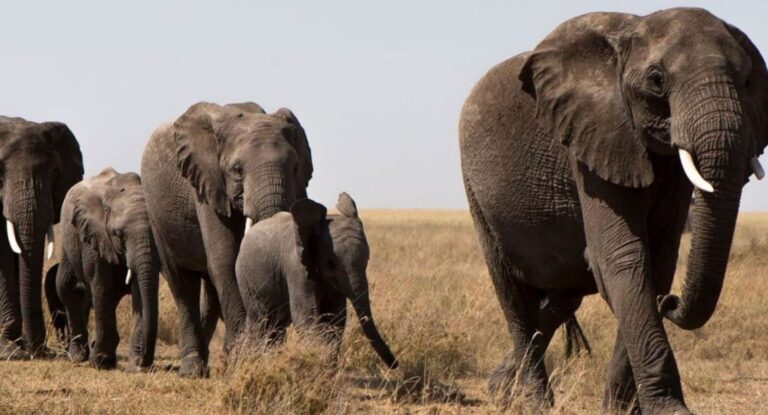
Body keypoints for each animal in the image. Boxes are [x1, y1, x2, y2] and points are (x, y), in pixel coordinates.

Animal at [44, 168, 159, 370]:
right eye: (118, 234)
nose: (144, 363)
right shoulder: (95, 237)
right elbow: (102, 286)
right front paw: (100, 363)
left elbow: (139, 291)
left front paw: (136, 365)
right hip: (69, 240)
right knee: (69, 290)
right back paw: (79, 356)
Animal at [141, 101, 312, 377]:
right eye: (237, 171)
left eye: (295, 167)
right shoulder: (206, 183)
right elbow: (225, 258)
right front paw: (244, 355)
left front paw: (251, 355)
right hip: (156, 214)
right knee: (181, 283)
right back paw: (192, 369)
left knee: (209, 292)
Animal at [235, 193, 398, 368]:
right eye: (331, 263)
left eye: (367, 260)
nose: (396, 365)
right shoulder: (296, 268)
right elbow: (306, 318)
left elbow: (336, 320)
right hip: (246, 279)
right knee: (261, 322)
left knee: (275, 325)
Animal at [459, 8, 768, 414]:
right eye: (657, 80)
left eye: (747, 81)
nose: (671, 302)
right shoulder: (592, 142)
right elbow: (622, 258)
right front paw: (669, 409)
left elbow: (657, 263)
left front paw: (620, 409)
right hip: (476, 195)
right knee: (513, 297)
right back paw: (534, 402)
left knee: (560, 300)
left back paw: (502, 389)